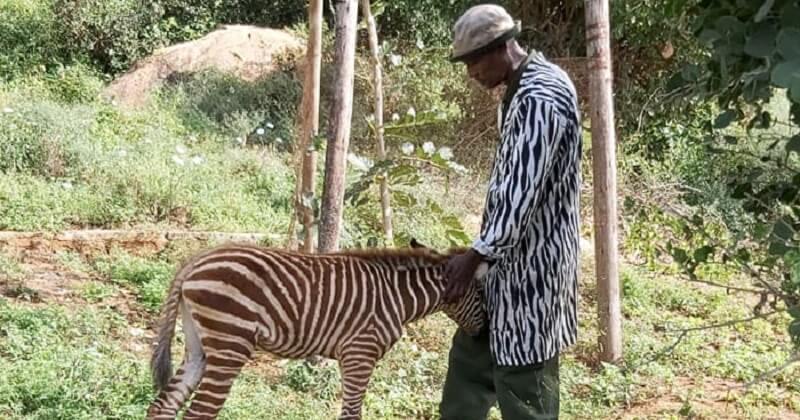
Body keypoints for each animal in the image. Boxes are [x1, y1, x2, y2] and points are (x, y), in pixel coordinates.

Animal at [147, 243, 490, 420]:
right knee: (199, 413)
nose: (483, 333)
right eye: (483, 293)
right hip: (231, 343)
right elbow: (351, 414)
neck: (397, 296)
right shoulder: (360, 354)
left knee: (162, 406)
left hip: (199, 346)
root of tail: (196, 261)